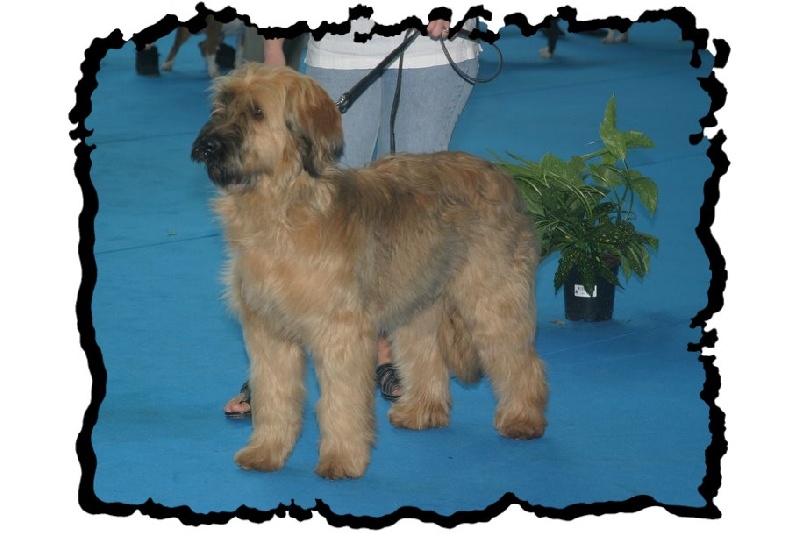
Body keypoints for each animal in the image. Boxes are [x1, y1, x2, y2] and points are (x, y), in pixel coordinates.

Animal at [191, 64, 549, 479]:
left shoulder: (340, 332)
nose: (207, 145)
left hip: (492, 299)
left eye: (257, 112)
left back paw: (523, 418)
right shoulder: (268, 331)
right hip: (418, 301)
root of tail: (502, 177)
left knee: (519, 360)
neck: (284, 210)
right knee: (425, 355)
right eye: (222, 104)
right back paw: (421, 411)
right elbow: (274, 396)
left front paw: (341, 459)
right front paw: (266, 452)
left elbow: (341, 400)